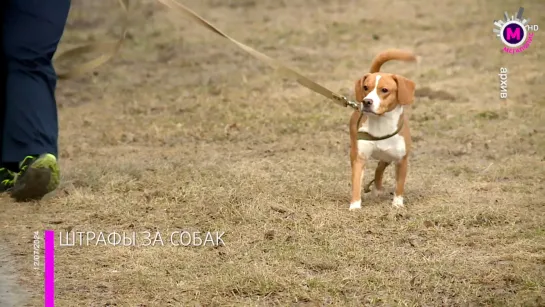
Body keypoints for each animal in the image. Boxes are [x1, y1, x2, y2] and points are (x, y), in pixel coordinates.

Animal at [348, 49, 416, 211]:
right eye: (365, 87)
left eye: (384, 90)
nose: (366, 101)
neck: (381, 123)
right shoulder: (359, 157)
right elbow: (356, 182)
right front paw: (355, 205)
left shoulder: (401, 160)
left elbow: (399, 186)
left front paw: (397, 204)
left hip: (387, 157)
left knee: (379, 169)